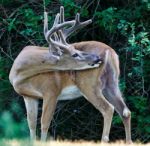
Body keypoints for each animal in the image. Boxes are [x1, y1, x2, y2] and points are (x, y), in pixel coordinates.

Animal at [8, 6, 132, 143]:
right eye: (75, 54)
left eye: (76, 50)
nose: (97, 58)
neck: (20, 74)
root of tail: (109, 51)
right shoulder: (29, 96)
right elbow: (31, 125)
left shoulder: (51, 91)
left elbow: (44, 123)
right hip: (112, 83)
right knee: (125, 111)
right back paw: (129, 142)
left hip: (89, 85)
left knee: (108, 109)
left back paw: (104, 140)